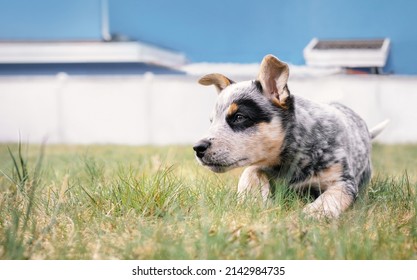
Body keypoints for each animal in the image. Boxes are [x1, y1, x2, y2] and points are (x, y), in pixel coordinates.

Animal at [192, 54, 386, 220]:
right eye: (212, 121)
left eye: (239, 117)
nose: (197, 148)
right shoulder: (260, 164)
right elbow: (249, 173)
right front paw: (254, 200)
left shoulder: (344, 181)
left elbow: (332, 196)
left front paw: (314, 212)